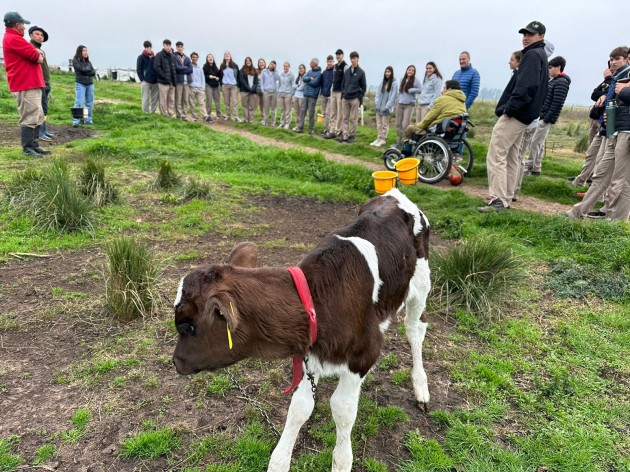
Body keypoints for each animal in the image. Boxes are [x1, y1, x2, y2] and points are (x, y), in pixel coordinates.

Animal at [173, 188, 432, 472]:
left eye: (186, 325)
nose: (175, 361)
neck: (319, 301)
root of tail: (394, 193)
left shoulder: (364, 355)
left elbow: (342, 409)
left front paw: (342, 461)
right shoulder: (309, 354)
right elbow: (299, 408)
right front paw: (279, 462)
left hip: (421, 285)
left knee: (415, 330)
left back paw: (421, 387)